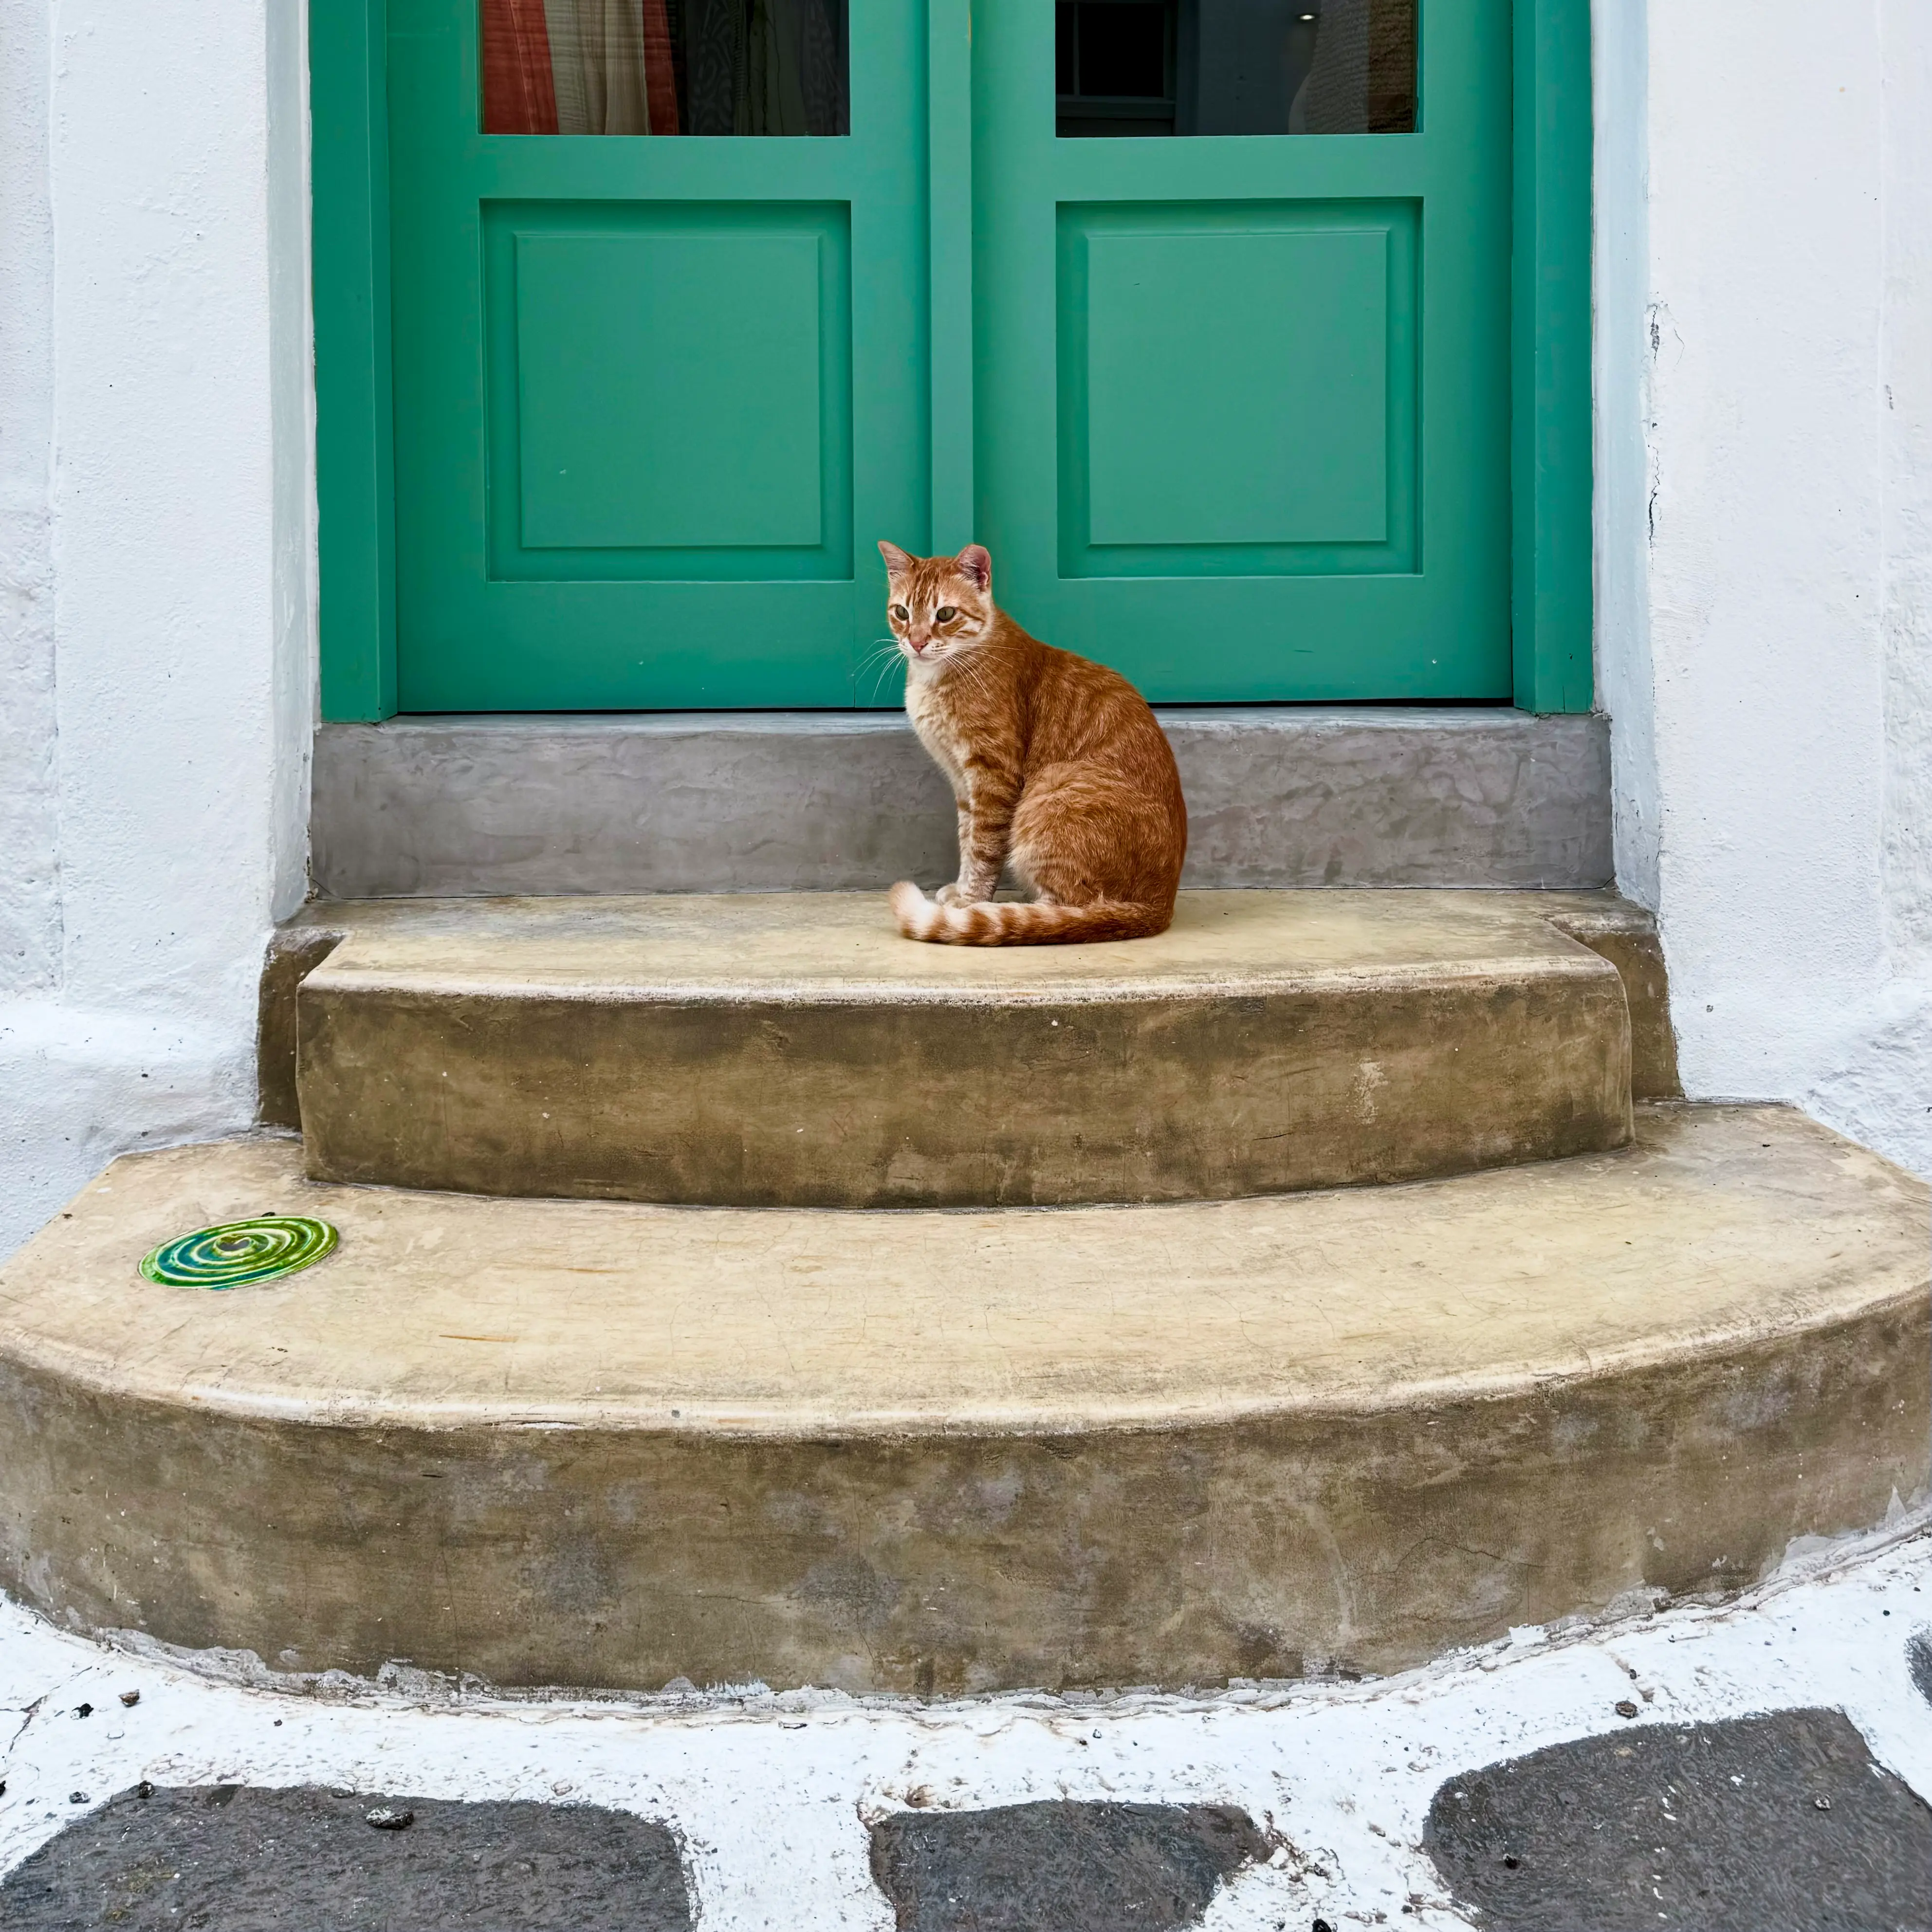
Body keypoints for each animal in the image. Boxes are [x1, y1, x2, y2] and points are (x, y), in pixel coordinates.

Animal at [881, 545, 1182, 942]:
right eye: (902, 612)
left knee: (1068, 912)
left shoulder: (993, 775)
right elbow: (966, 839)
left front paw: (971, 900)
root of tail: (1160, 905)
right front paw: (962, 888)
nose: (916, 643)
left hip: (1050, 792)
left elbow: (983, 847)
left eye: (945, 614)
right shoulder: (962, 781)